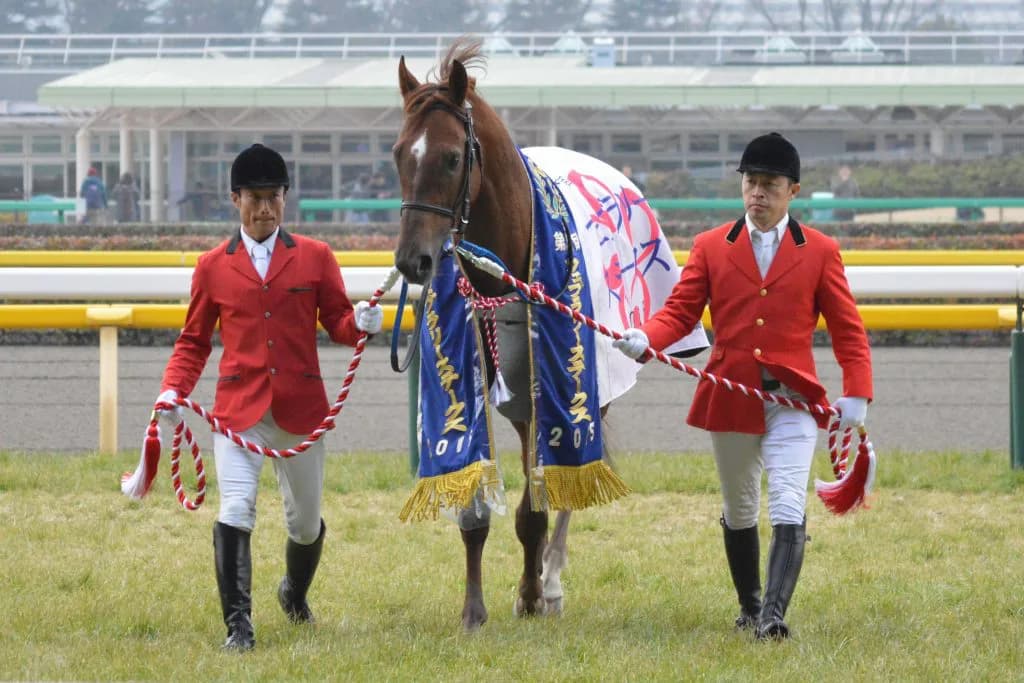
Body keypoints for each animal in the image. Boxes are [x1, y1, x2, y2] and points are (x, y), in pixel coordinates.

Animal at [391, 38, 705, 631]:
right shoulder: (474, 372)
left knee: (568, 469)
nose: (412, 260)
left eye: (451, 157)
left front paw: (535, 593)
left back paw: (551, 578)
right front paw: (474, 610)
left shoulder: (549, 381)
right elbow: (473, 496)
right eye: (399, 154)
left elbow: (536, 505)